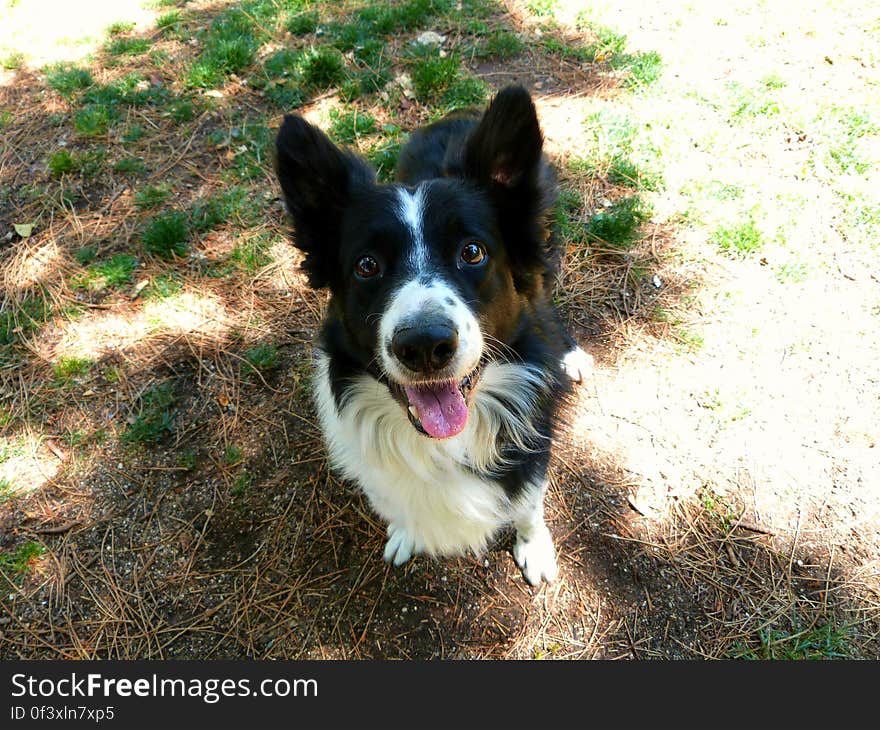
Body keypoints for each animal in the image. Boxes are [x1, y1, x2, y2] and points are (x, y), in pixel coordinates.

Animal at [276, 85, 592, 584]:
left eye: (472, 252)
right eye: (367, 265)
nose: (424, 346)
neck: (442, 443)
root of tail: (460, 114)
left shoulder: (531, 442)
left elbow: (528, 502)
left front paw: (534, 545)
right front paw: (406, 532)